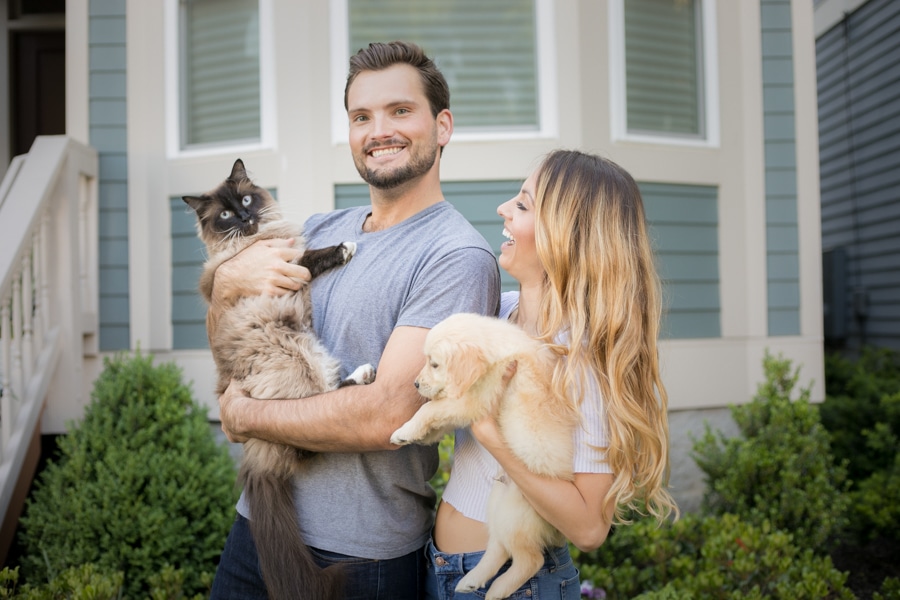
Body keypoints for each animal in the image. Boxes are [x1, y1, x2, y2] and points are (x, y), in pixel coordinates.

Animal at [183, 158, 370, 600]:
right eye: (226, 215)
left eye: (247, 200)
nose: (244, 216)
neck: (260, 236)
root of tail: (258, 457)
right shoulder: (283, 265)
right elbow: (311, 256)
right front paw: (347, 247)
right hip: (300, 360)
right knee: (310, 435)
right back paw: (366, 373)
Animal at [388, 312, 576, 596]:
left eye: (435, 364)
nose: (416, 384)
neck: (495, 352)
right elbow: (436, 418)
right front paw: (415, 435)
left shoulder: (471, 401)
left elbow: (430, 408)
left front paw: (406, 429)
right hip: (498, 500)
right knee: (499, 547)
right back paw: (472, 580)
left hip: (517, 512)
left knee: (530, 559)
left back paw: (497, 590)